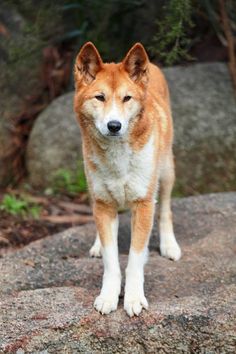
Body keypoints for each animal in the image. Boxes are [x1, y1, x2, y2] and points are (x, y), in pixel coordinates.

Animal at [74, 42, 181, 318]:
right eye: (100, 97)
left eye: (127, 98)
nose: (114, 125)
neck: (118, 158)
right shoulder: (102, 203)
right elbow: (111, 261)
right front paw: (108, 296)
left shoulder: (143, 204)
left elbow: (134, 259)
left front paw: (133, 298)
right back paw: (97, 244)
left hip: (166, 171)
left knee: (166, 209)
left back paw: (169, 245)